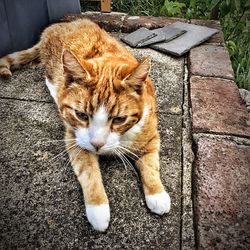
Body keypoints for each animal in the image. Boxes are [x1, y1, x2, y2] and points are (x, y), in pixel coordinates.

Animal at [0, 18, 170, 231]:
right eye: (81, 115)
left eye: (119, 120)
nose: (97, 144)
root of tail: (60, 24)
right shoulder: (75, 139)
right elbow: (88, 172)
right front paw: (98, 209)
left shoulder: (151, 135)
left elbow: (151, 164)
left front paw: (157, 193)